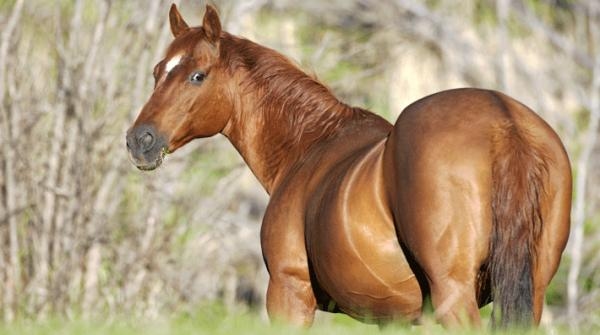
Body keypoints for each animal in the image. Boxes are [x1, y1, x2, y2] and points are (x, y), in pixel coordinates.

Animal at [125, 4, 572, 330]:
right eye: (157, 71)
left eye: (198, 76)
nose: (139, 140)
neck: (309, 145)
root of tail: (504, 122)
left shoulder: (288, 295)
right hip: (529, 294)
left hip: (456, 300)